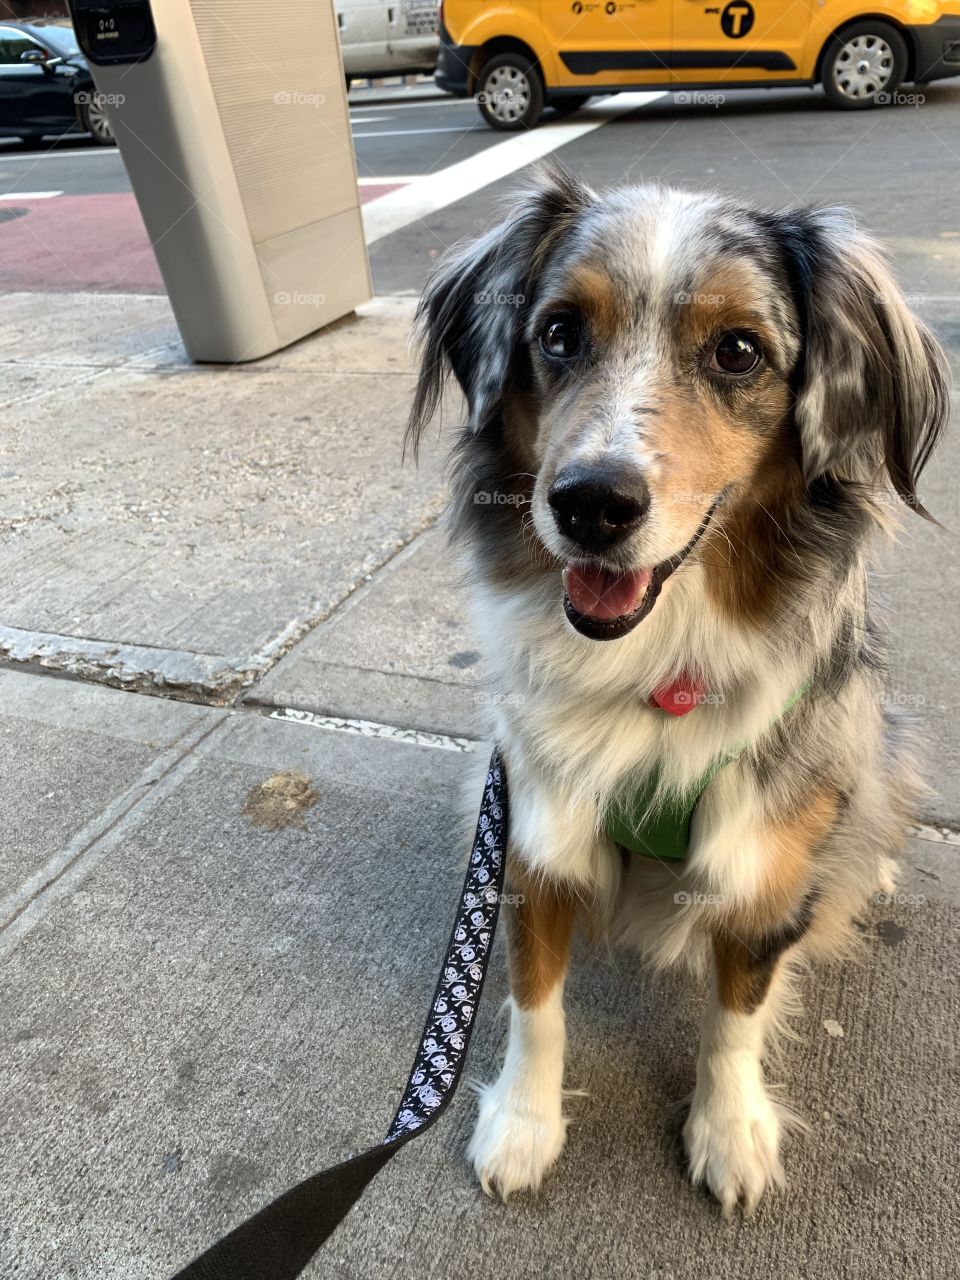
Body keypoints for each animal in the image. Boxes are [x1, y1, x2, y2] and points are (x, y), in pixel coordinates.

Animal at [404, 165, 947, 1213]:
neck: (657, 674)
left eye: (738, 351)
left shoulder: (759, 865)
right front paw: (524, 1125)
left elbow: (735, 1017)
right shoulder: (533, 835)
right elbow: (534, 1004)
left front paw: (729, 1132)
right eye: (558, 333)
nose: (591, 504)